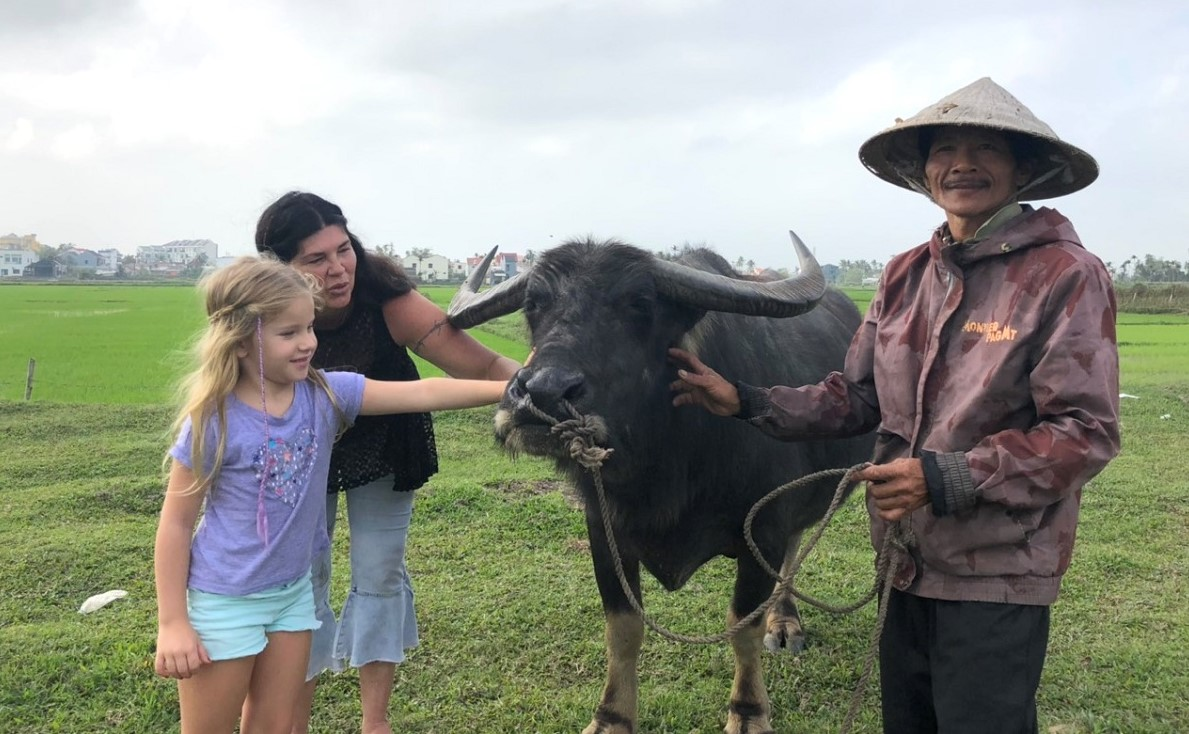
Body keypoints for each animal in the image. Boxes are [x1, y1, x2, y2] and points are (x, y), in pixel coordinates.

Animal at [447, 236, 875, 732]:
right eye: (534, 304)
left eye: (640, 304)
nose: (543, 393)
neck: (665, 464)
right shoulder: (604, 533)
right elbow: (623, 628)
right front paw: (611, 716)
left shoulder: (763, 529)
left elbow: (742, 628)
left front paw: (748, 711)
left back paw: (784, 623)